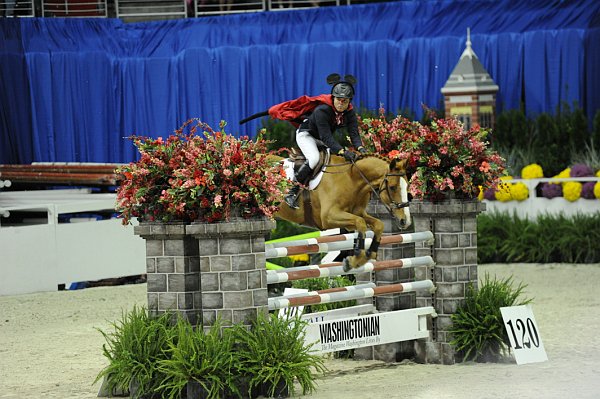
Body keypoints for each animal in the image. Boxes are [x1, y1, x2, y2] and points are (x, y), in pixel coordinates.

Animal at [274, 155, 410, 270]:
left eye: (407, 186)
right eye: (392, 187)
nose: (405, 221)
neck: (352, 179)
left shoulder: (358, 213)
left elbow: (378, 225)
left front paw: (367, 256)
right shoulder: (329, 218)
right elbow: (360, 223)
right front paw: (355, 260)